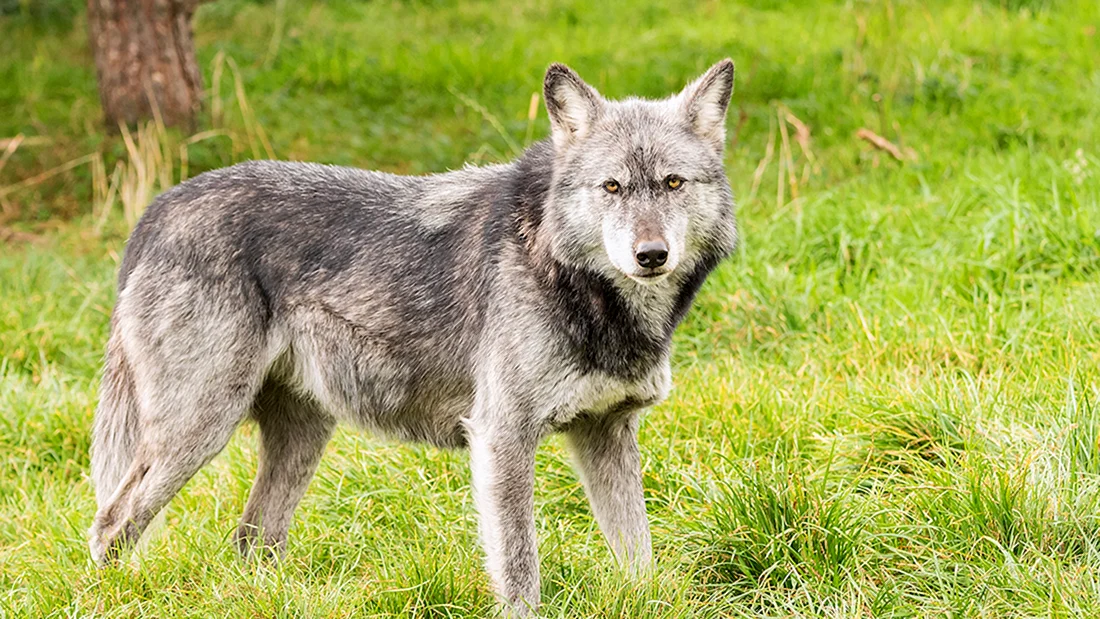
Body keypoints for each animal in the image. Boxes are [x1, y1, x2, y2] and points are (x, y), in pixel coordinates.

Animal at [88, 59, 738, 615]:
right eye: (612, 187)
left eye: (673, 183)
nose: (650, 255)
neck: (573, 278)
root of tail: (159, 206)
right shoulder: (502, 437)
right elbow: (520, 568)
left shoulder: (606, 433)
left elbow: (639, 556)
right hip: (197, 432)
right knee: (109, 524)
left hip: (300, 439)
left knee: (249, 537)